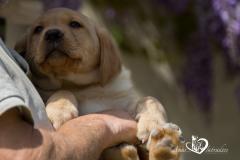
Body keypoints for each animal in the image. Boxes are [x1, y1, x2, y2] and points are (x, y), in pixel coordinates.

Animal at [15, 8, 183, 160]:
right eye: (38, 29)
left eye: (75, 24)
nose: (52, 34)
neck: (82, 87)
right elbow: (63, 91)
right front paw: (59, 111)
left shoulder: (124, 102)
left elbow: (150, 99)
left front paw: (153, 124)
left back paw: (163, 145)